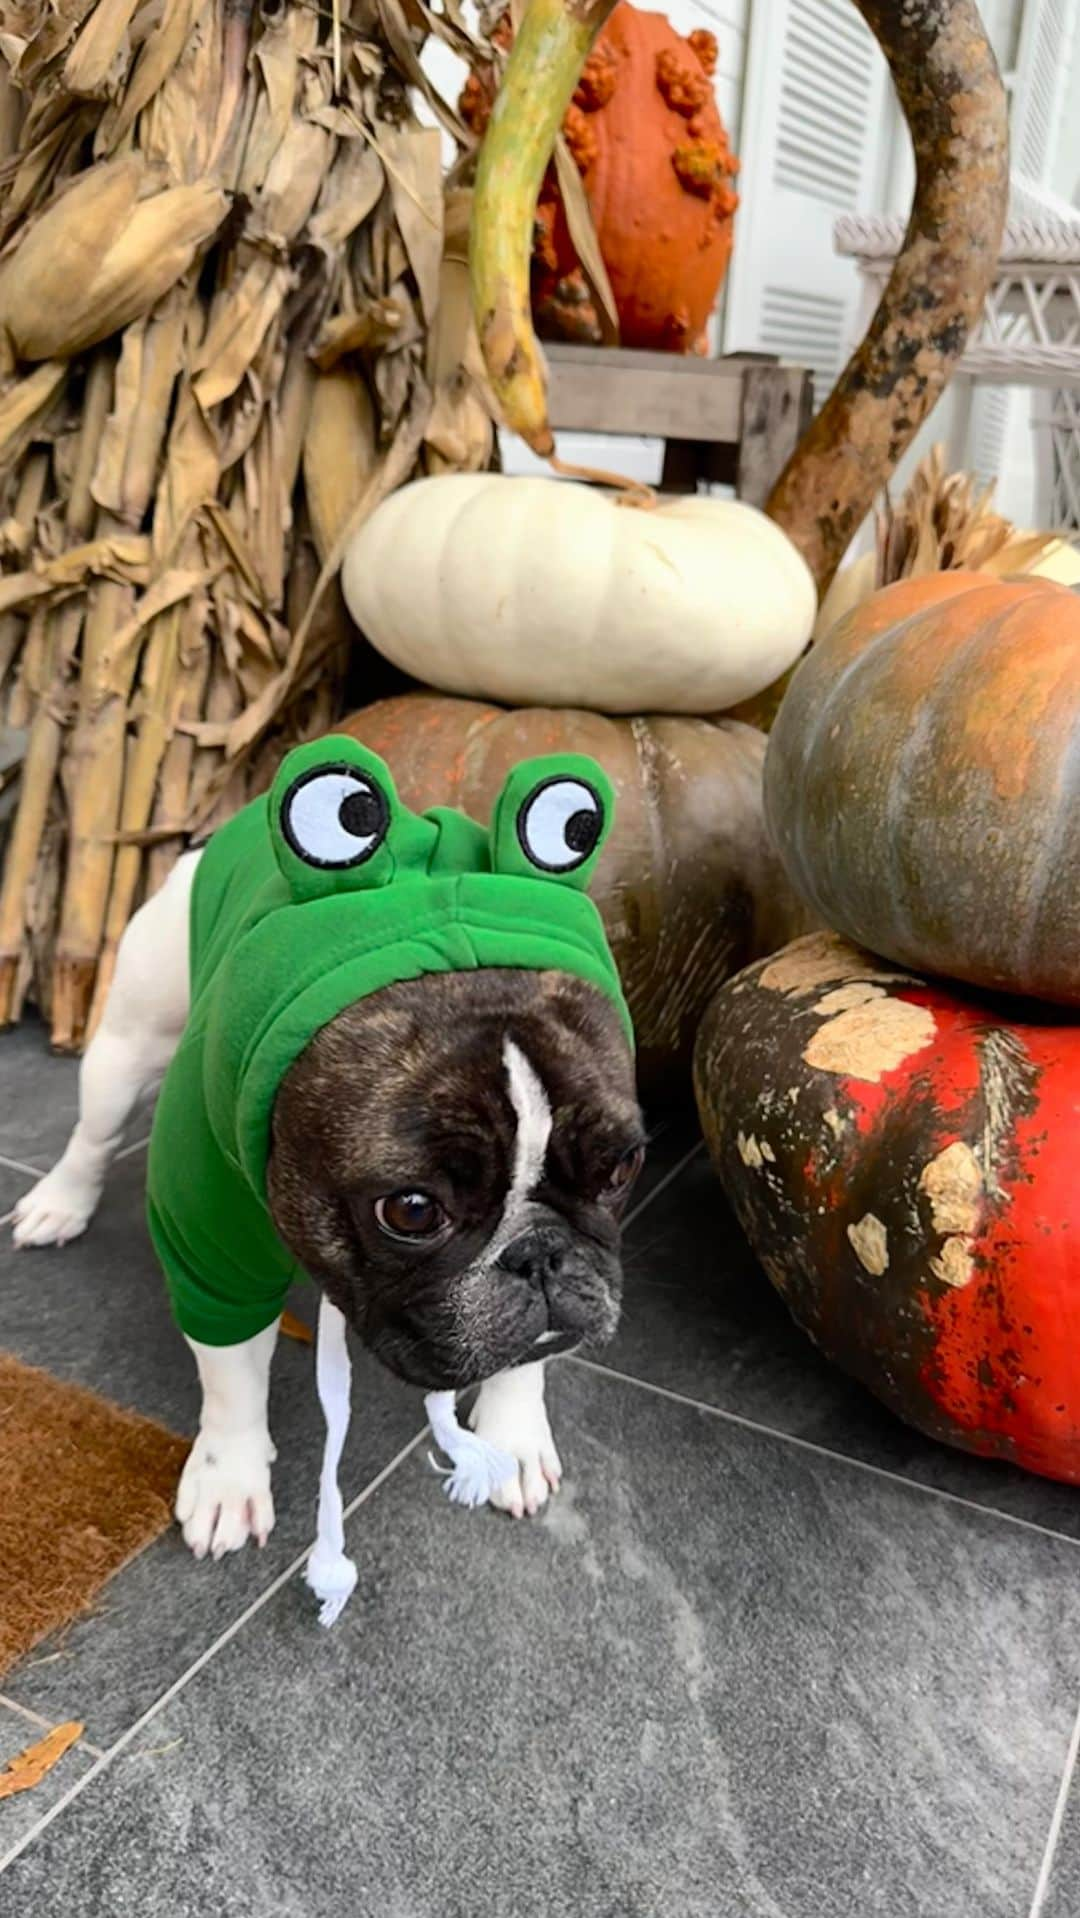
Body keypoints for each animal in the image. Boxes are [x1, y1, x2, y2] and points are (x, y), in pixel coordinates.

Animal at [12, 740, 648, 1565]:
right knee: (93, 1134)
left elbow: (529, 1354)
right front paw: (228, 1476)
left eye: (621, 1168)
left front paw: (513, 1431)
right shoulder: (210, 1240)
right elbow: (230, 1371)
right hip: (127, 1043)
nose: (539, 1255)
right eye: (412, 1212)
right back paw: (57, 1203)